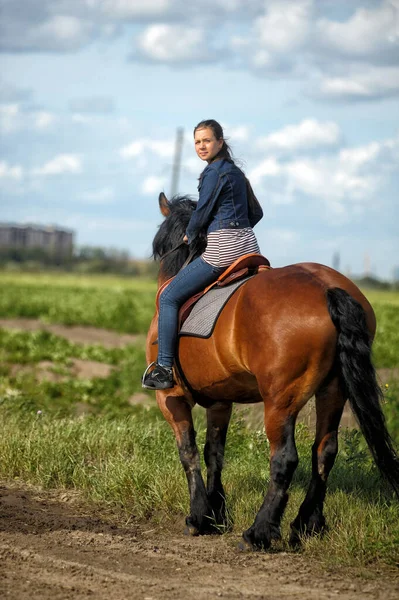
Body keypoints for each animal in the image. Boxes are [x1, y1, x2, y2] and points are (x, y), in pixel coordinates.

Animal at [147, 195, 399, 552]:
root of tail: (327, 286)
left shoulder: (171, 397)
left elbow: (189, 453)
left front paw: (198, 517)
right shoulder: (220, 402)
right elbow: (214, 453)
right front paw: (216, 514)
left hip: (280, 401)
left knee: (284, 458)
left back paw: (259, 532)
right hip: (333, 391)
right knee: (325, 451)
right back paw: (306, 524)